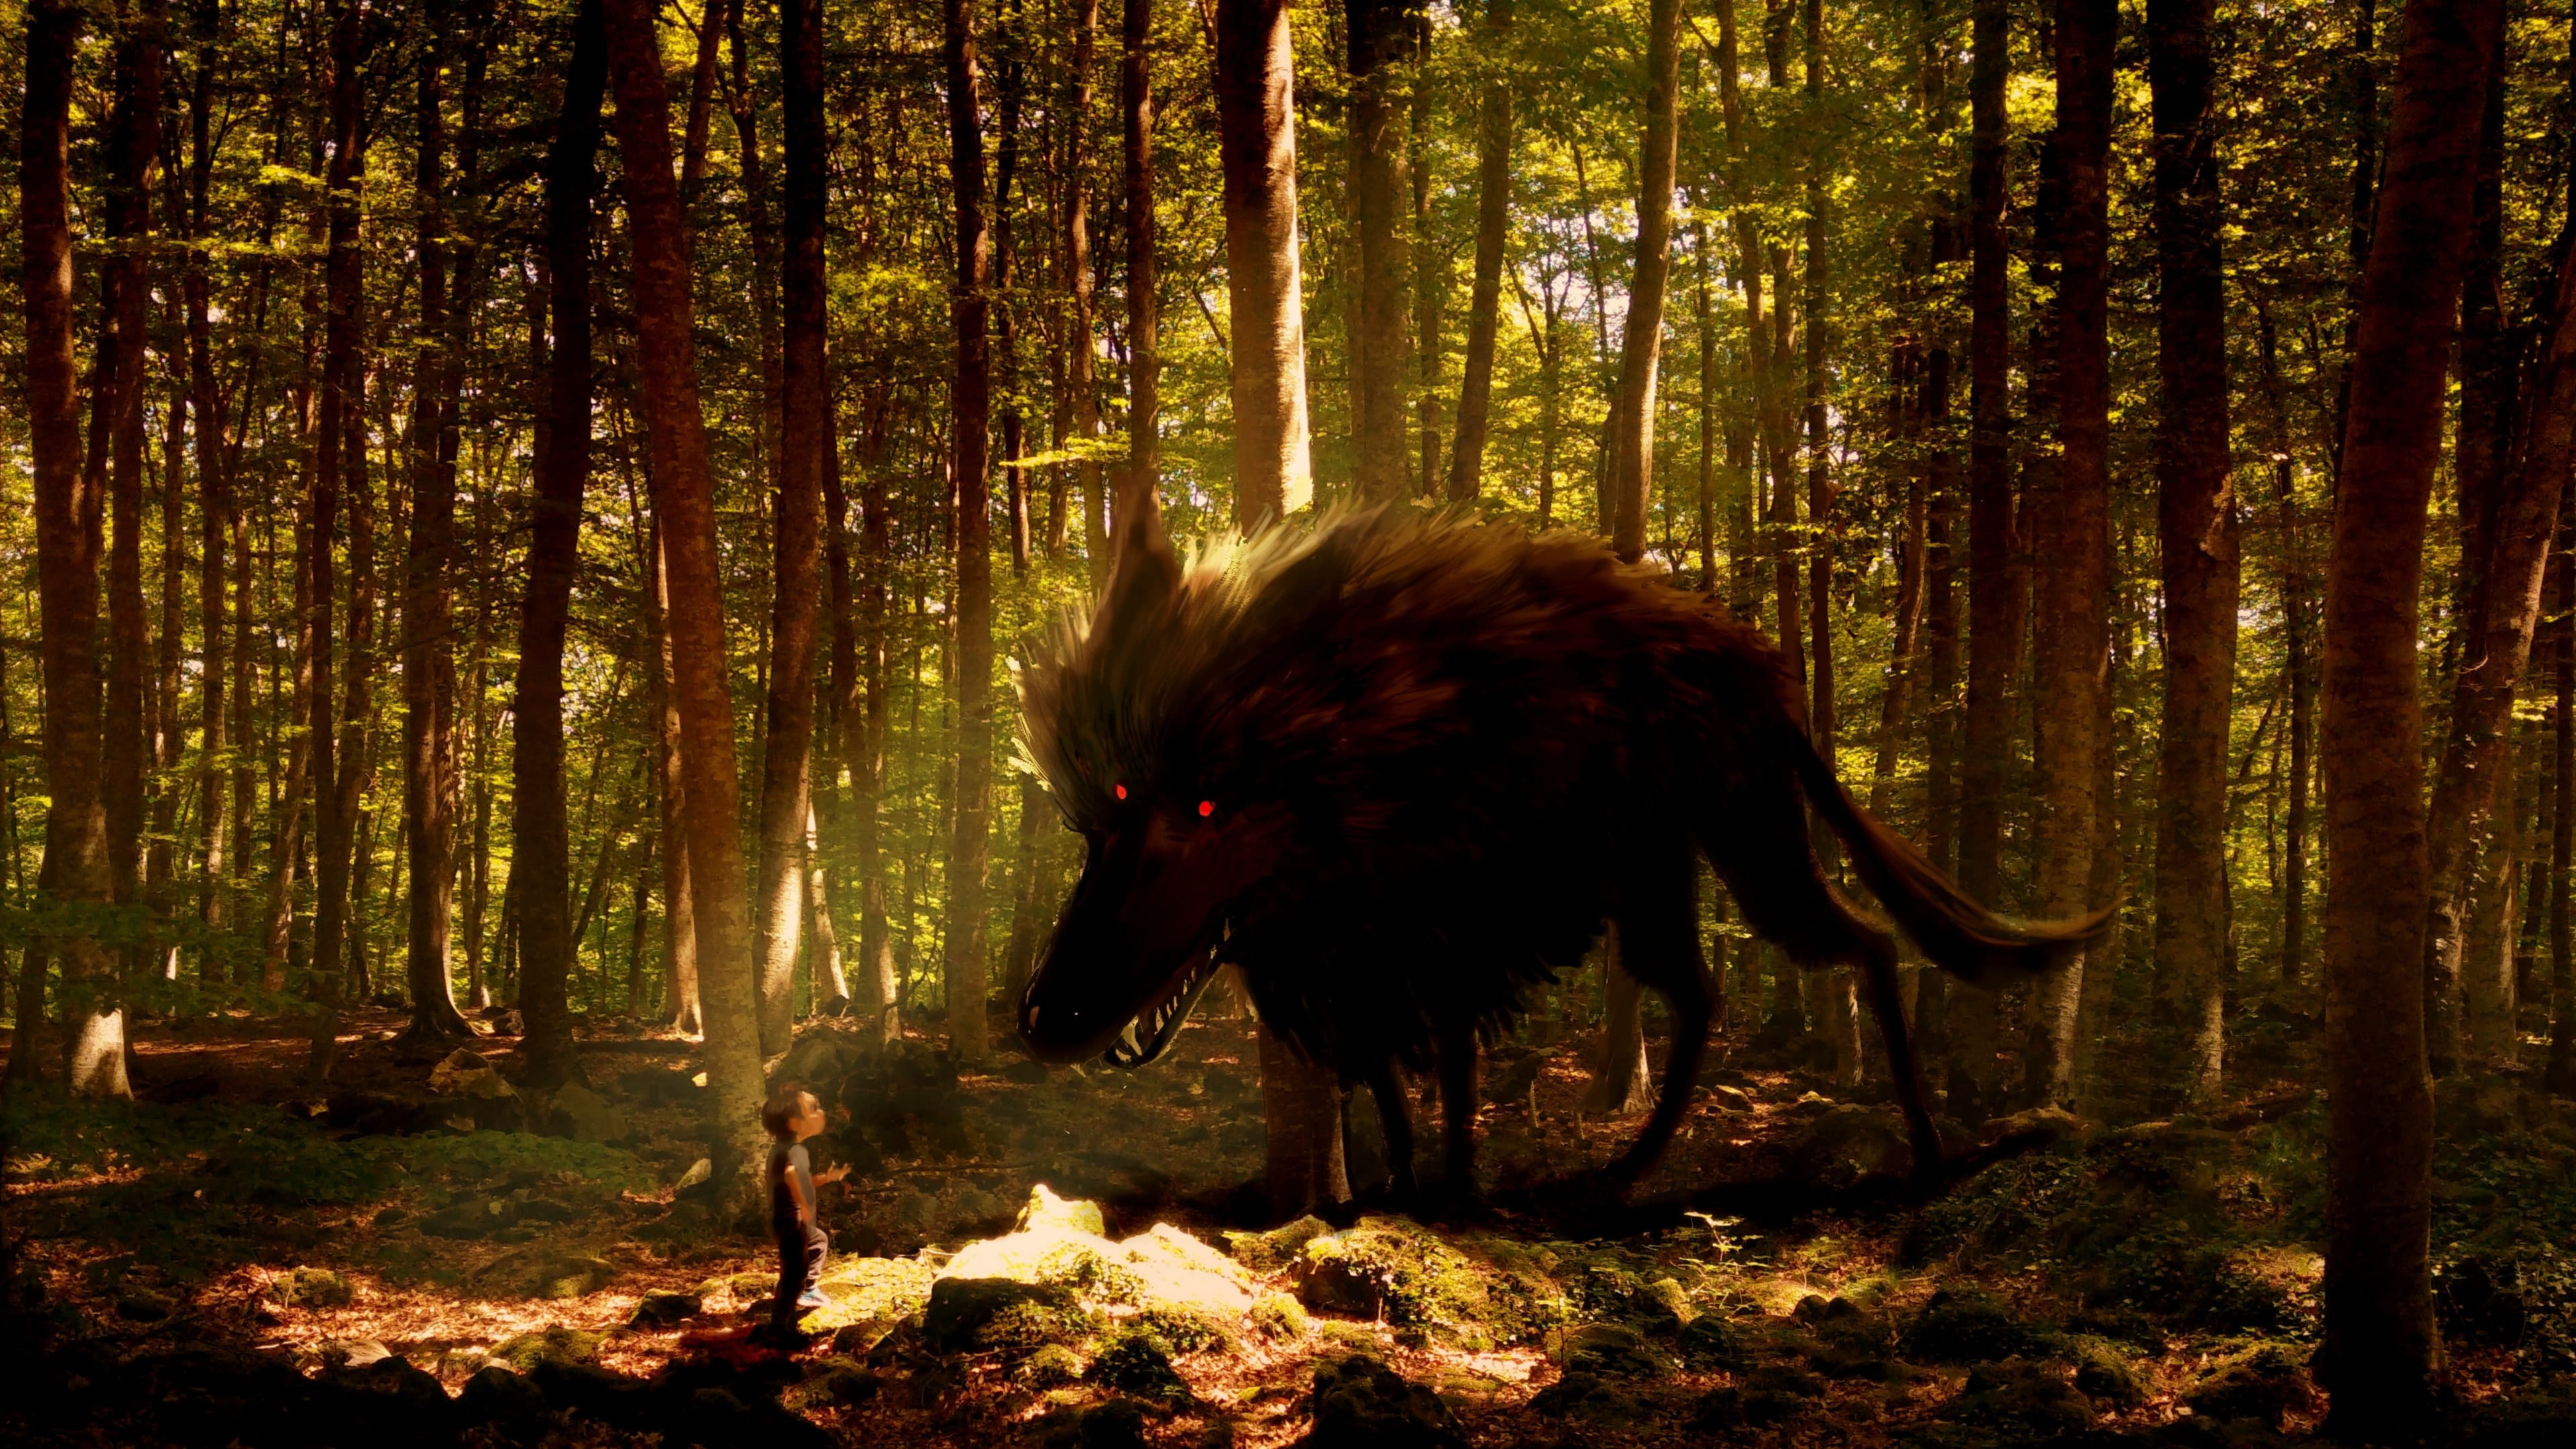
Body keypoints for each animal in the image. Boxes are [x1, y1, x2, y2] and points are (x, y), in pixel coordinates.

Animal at [1014, 505, 2108, 1196]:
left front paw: (1449, 1197)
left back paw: (1919, 1155)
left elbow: (1449, 1082)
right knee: (1708, 988)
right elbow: (1390, 1090)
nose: (1043, 1019)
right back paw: (1625, 1173)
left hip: (1742, 842)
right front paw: (1392, 1192)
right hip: (1666, 870)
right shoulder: (1371, 967)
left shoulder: (1445, 944)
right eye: (1104, 810)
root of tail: (1767, 676)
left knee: (1863, 946)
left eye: (1205, 805)